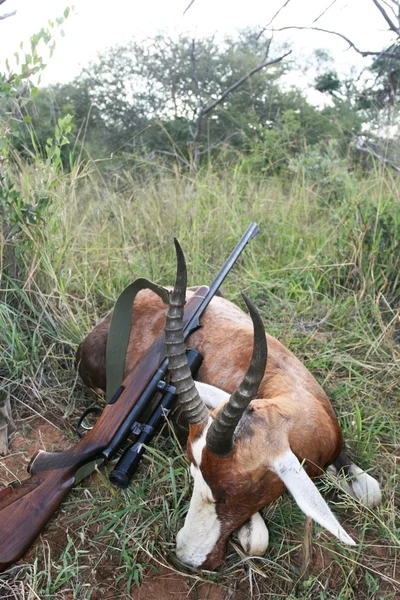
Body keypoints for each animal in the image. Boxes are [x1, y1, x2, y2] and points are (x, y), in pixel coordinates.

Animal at [76, 243, 382, 568]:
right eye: (193, 471)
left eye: (237, 488)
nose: (188, 556)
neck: (292, 389)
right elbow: (258, 540)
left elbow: (371, 493)